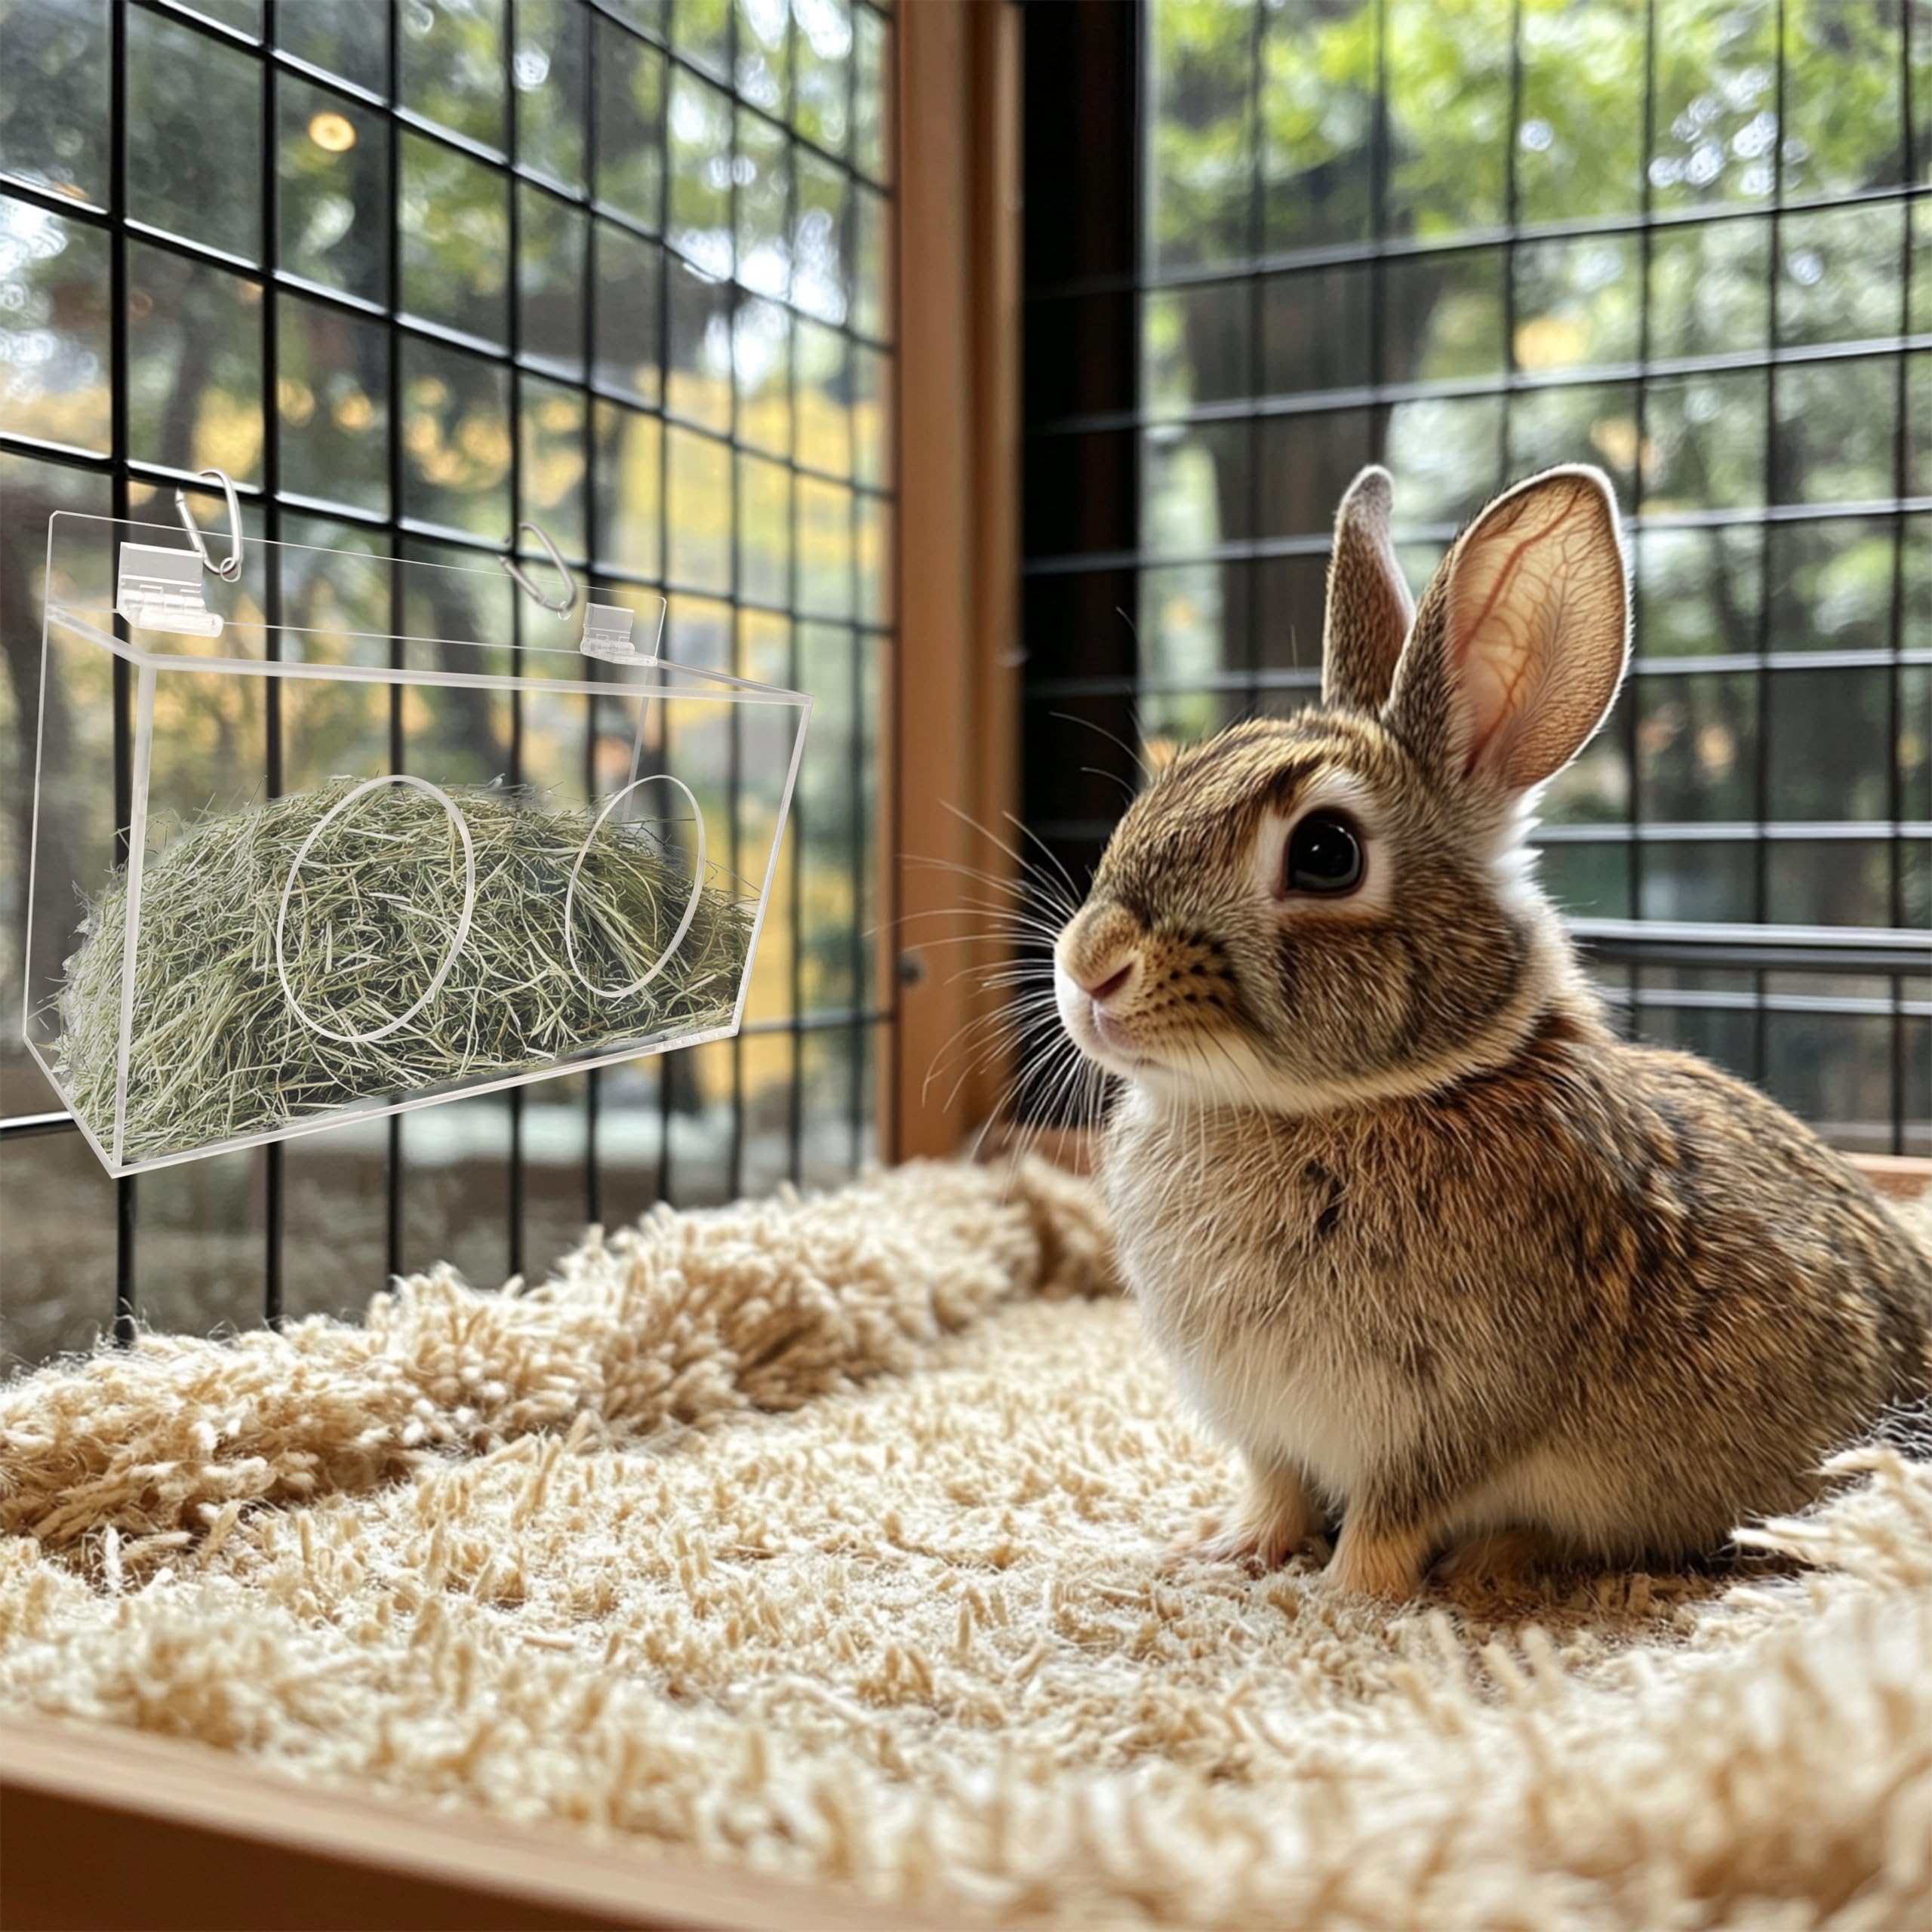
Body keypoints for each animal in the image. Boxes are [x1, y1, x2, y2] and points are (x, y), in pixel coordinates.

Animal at [1052, 463, 1932, 1598]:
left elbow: (1390, 1520)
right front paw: (1227, 1552)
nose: (1091, 967)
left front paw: (1342, 1600)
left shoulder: (1443, 1417)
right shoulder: (1272, 1431)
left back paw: (1496, 1560)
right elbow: (1276, 1489)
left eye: (1326, 853)